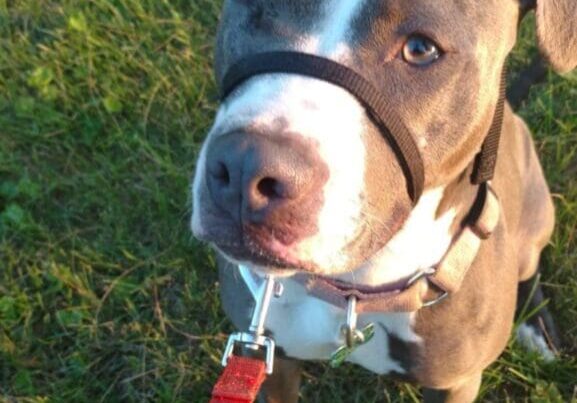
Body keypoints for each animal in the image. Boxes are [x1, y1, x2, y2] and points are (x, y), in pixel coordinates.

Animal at [191, 1, 572, 402]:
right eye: (261, 8)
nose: (243, 168)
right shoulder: (271, 358)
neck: (354, 293)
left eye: (420, 49)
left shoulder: (457, 384)